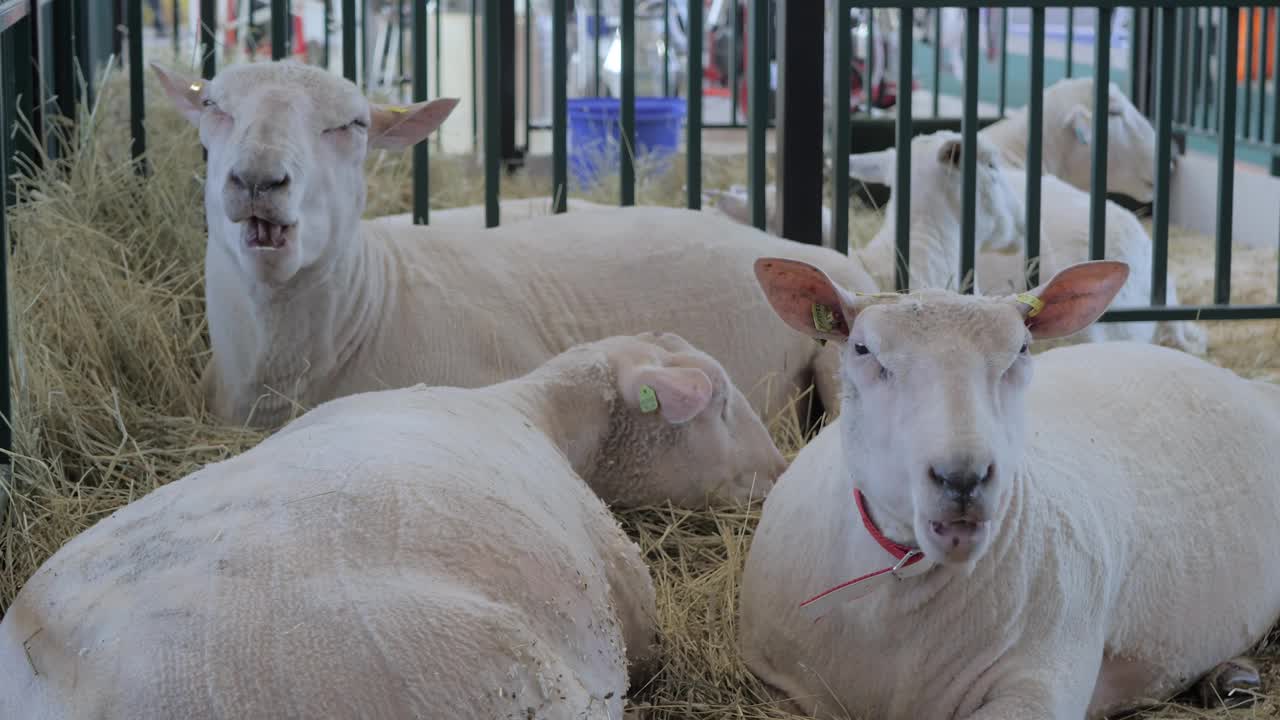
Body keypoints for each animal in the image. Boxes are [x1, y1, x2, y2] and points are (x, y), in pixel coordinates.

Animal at [737, 257, 1280, 717]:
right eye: (863, 349)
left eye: (1021, 349)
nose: (962, 478)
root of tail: (1249, 383)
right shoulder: (775, 679)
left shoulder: (1040, 680)